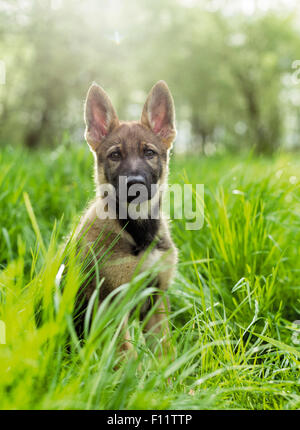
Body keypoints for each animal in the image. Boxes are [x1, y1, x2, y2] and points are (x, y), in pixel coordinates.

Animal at [74, 80, 178, 352]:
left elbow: (165, 351)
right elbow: (125, 354)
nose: (135, 185)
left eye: (149, 153)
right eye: (115, 155)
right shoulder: (109, 305)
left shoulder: (156, 298)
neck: (137, 230)